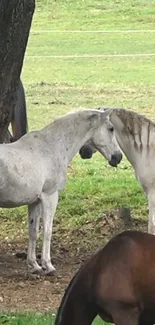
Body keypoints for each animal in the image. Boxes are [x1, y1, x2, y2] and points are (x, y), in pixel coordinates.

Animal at [0, 109, 122, 274]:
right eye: (111, 128)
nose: (118, 157)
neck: (52, 146)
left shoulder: (35, 202)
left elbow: (33, 232)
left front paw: (34, 265)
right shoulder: (50, 197)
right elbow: (47, 231)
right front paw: (48, 265)